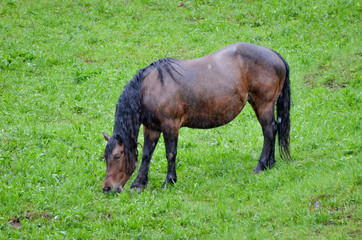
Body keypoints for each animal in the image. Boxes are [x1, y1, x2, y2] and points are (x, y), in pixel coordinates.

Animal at [101, 42, 292, 194]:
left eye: (117, 156)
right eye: (105, 156)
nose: (107, 188)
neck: (150, 88)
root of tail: (274, 54)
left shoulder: (170, 125)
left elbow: (170, 153)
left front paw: (169, 181)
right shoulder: (151, 128)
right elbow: (147, 155)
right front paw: (139, 184)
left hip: (264, 104)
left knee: (269, 131)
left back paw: (261, 166)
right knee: (272, 129)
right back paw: (270, 163)